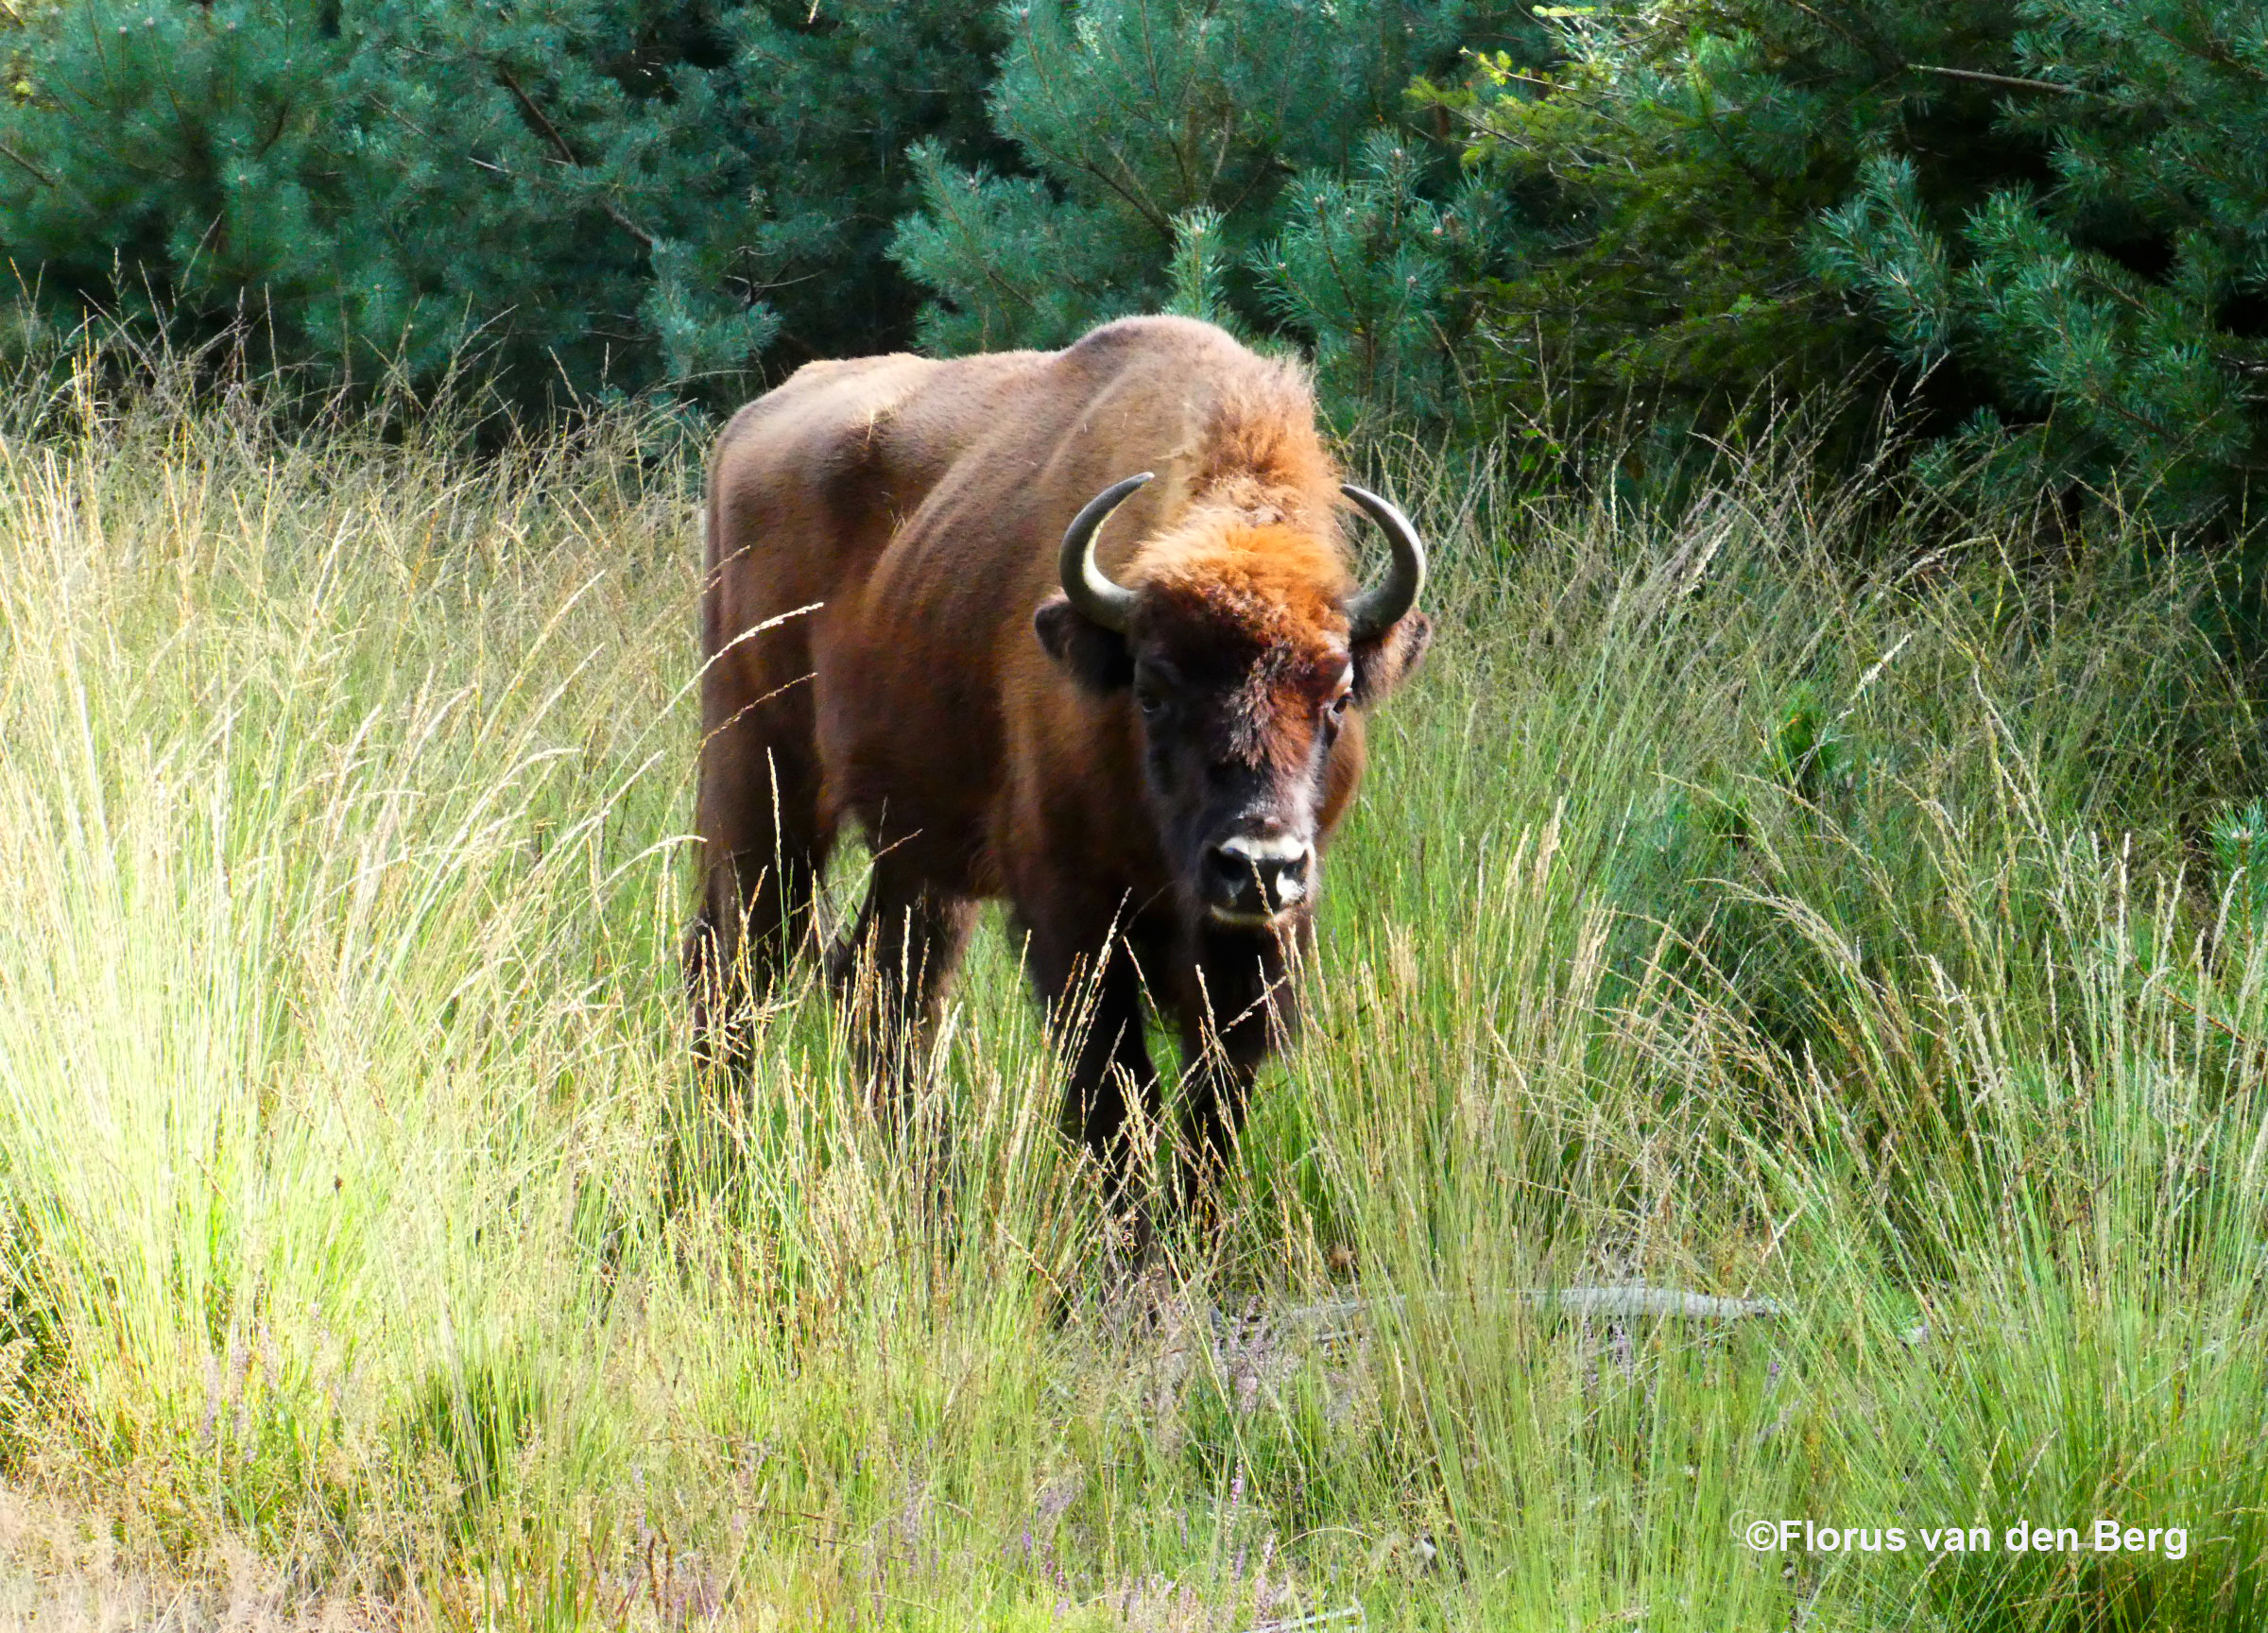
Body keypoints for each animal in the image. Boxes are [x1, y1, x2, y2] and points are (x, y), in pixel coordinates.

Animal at [689, 315, 1433, 1215]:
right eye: (1152, 688)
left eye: (1337, 695)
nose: (1258, 866)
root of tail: (749, 426)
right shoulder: (1074, 918)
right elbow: (1117, 1101)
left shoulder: (1251, 960)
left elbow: (1211, 1112)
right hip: (758, 782)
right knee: (735, 977)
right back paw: (706, 1181)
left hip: (921, 854)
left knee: (885, 991)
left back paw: (934, 1194)